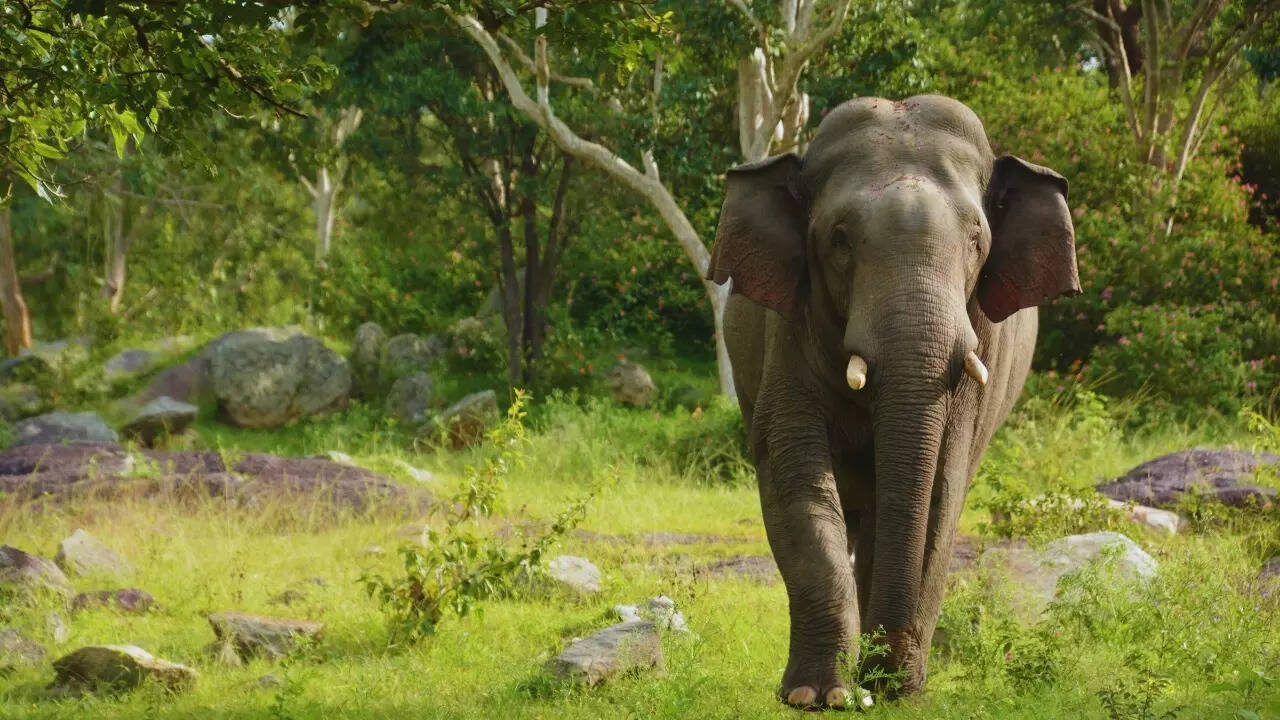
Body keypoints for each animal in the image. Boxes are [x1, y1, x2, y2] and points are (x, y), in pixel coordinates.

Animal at [710, 95, 1080, 708]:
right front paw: (817, 696)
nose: (879, 684)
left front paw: (893, 691)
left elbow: (940, 490)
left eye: (977, 239)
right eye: (839, 238)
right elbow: (795, 475)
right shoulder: (785, 333)